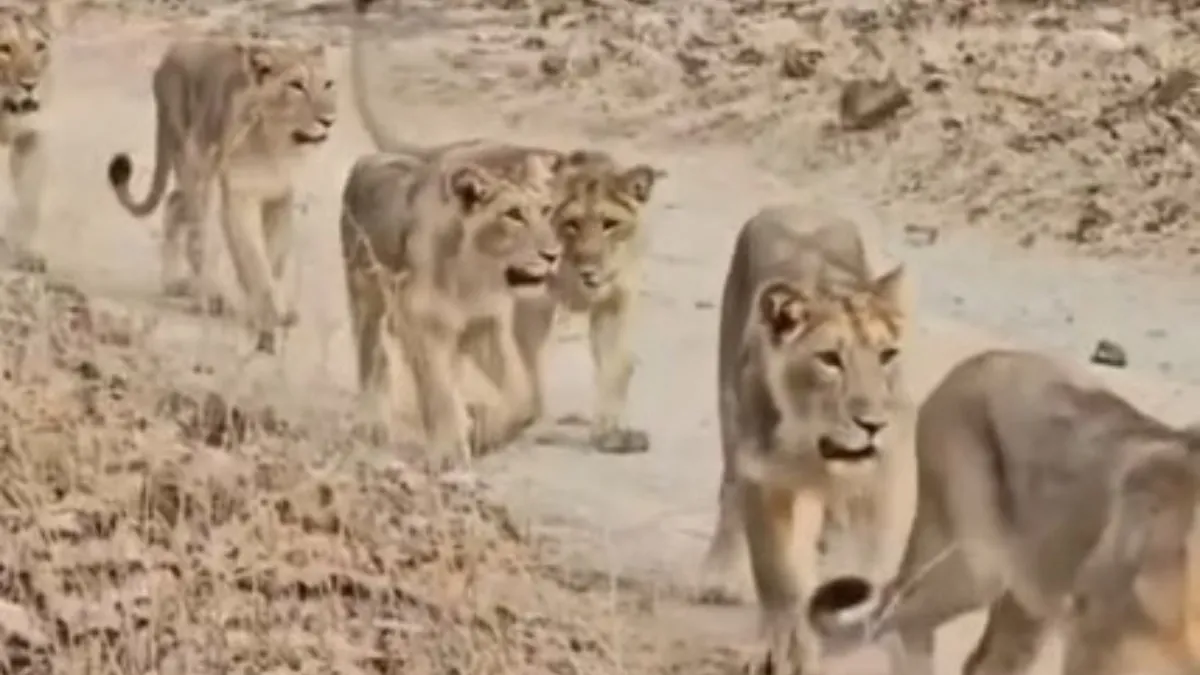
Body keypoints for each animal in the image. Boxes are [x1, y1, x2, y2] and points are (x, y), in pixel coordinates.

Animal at [106, 36, 337, 353]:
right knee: (196, 236)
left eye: (328, 84)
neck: (277, 145)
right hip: (196, 167)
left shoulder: (282, 197)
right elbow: (254, 261)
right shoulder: (240, 197)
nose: (329, 120)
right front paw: (267, 315)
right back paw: (205, 295)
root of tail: (171, 54)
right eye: (296, 85)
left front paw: (271, 309)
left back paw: (174, 284)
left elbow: (274, 260)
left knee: (173, 203)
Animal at [339, 147, 564, 469]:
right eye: (513, 214)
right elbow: (439, 391)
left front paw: (485, 434)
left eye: (546, 210)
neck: (474, 274)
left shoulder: (485, 322)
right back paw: (371, 422)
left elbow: (523, 397)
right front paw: (448, 453)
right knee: (373, 354)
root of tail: (370, 157)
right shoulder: (421, 322)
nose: (553, 255)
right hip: (365, 293)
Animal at [695, 203, 912, 675]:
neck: (813, 443)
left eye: (887, 355)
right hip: (729, 410)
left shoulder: (876, 484)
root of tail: (800, 206)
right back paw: (720, 579)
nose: (874, 424)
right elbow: (779, 580)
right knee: (730, 493)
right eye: (830, 359)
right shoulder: (763, 480)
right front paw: (785, 650)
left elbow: (866, 569)